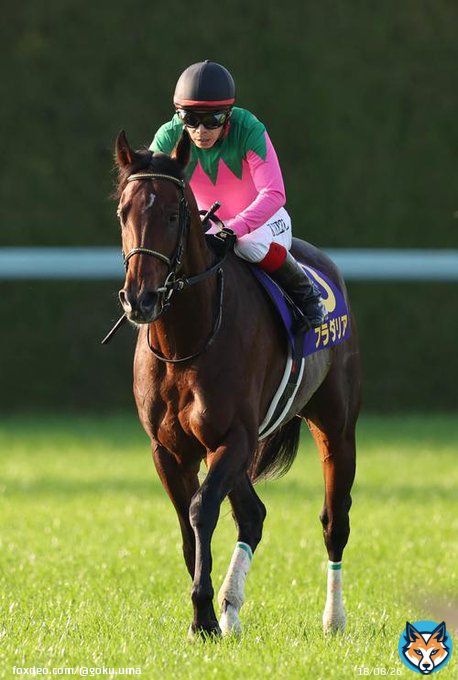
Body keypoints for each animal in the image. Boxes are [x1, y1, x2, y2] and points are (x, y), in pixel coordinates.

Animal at [113, 129, 361, 639]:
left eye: (173, 215)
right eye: (124, 212)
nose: (140, 299)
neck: (185, 341)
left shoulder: (234, 436)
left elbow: (201, 509)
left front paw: (203, 615)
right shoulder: (170, 449)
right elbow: (188, 525)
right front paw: (210, 611)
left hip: (336, 427)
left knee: (334, 520)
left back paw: (333, 619)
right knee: (253, 514)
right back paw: (232, 607)